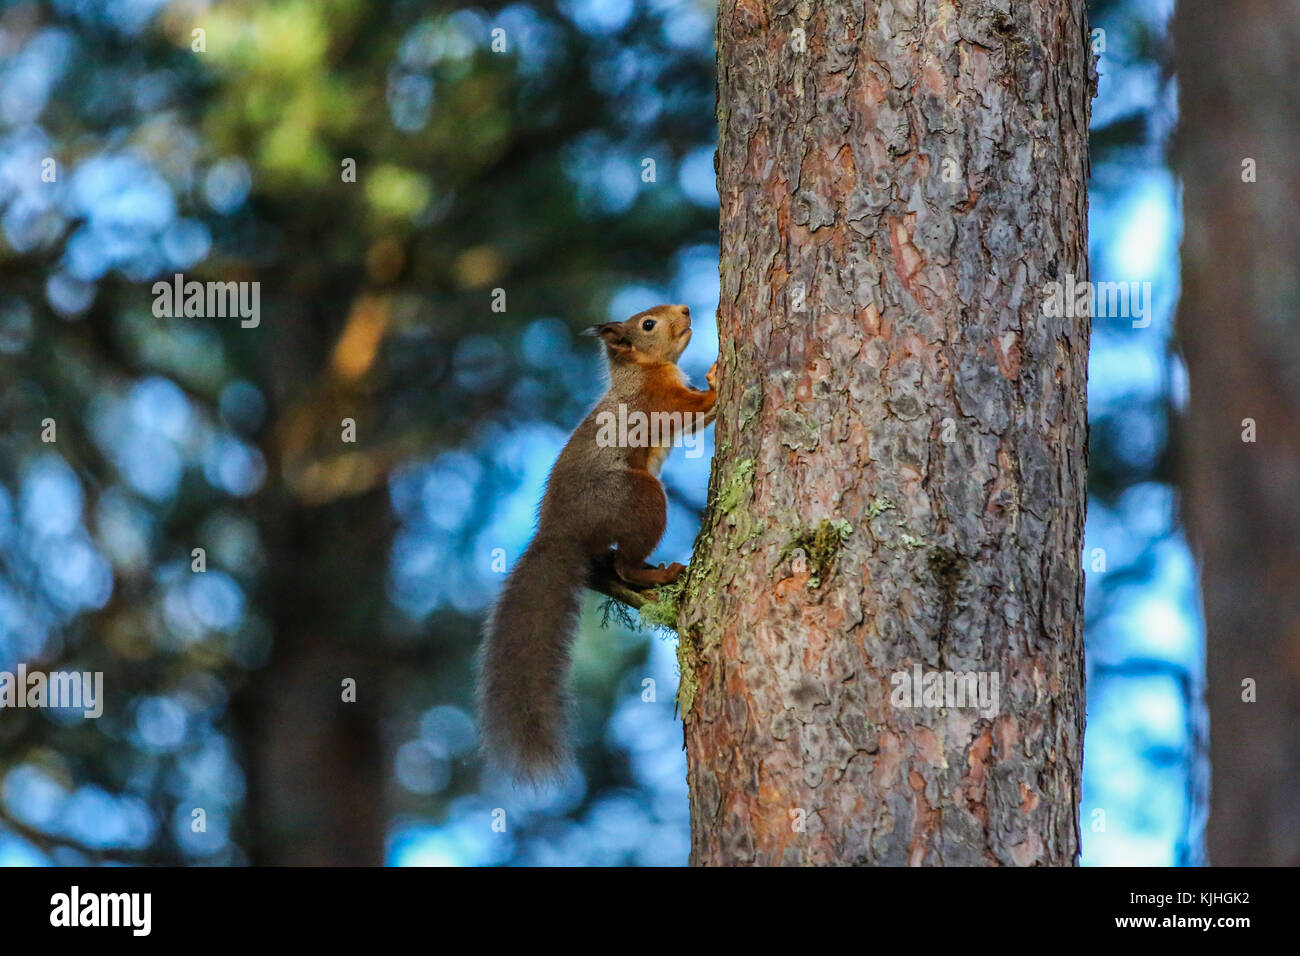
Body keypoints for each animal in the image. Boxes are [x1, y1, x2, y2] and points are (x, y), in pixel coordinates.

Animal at [478, 304, 718, 782]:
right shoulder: (655, 401)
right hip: (638, 495)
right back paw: (657, 572)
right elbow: (690, 410)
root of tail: (559, 531)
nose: (685, 309)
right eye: (647, 324)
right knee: (627, 563)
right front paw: (718, 376)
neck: (640, 370)